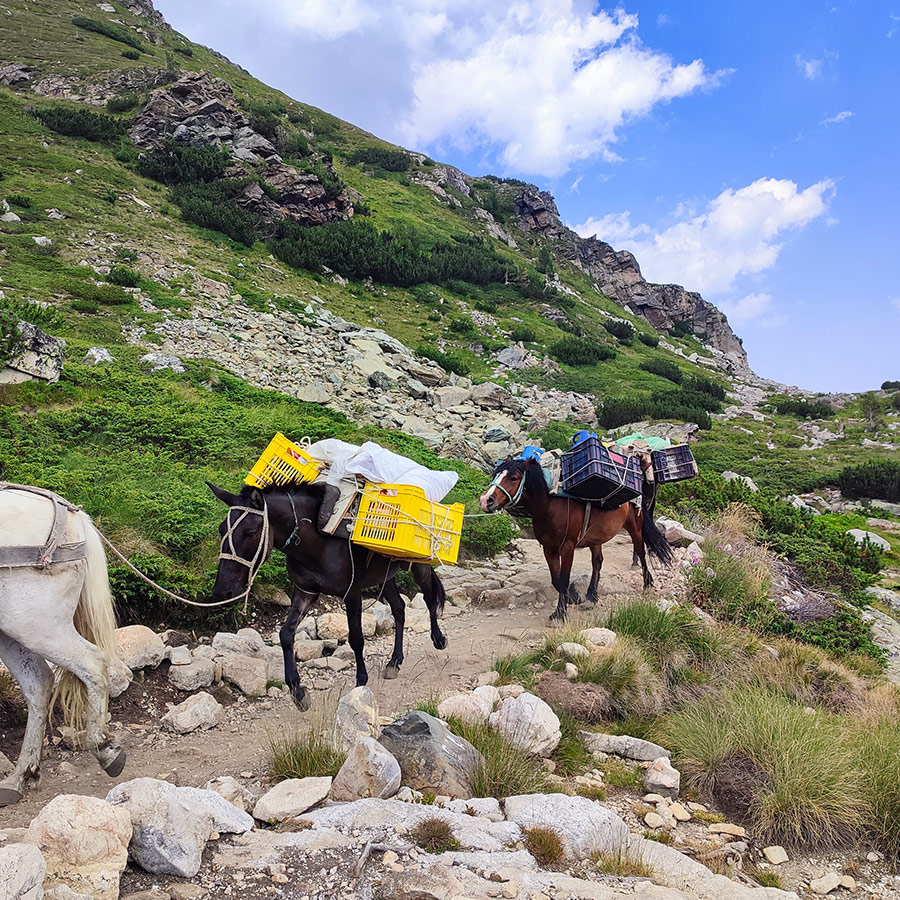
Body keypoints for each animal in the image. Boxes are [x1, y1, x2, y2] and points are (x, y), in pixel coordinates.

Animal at [0, 484, 126, 807]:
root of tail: (72, 514)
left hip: (40, 627)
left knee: (92, 662)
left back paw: (104, 748)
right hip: (14, 632)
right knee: (38, 683)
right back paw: (20, 775)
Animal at [207, 480, 448, 711]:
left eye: (250, 532)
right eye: (221, 529)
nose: (222, 591)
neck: (317, 541)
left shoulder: (352, 593)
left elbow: (356, 638)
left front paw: (361, 681)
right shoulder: (306, 592)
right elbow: (286, 634)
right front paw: (297, 691)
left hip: (420, 565)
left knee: (429, 598)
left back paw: (438, 639)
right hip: (385, 576)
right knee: (399, 608)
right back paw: (394, 662)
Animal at [479, 457, 673, 622]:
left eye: (513, 477)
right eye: (495, 475)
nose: (486, 500)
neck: (550, 507)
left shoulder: (567, 547)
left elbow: (564, 579)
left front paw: (560, 614)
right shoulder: (548, 548)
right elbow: (556, 580)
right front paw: (573, 597)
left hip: (635, 527)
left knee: (640, 552)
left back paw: (647, 584)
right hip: (596, 537)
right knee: (597, 562)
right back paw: (591, 596)